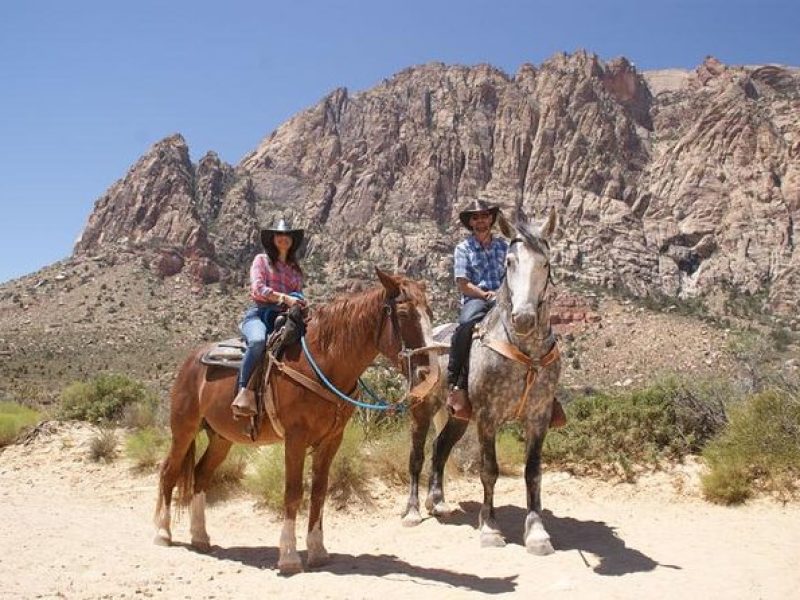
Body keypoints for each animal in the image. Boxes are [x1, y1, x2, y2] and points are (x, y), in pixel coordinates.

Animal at [154, 270, 434, 576]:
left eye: (430, 312)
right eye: (404, 313)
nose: (427, 373)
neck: (323, 363)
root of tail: (191, 360)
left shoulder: (331, 440)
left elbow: (319, 492)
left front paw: (318, 551)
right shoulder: (295, 438)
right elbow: (293, 492)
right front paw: (289, 556)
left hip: (221, 438)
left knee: (201, 475)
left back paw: (200, 537)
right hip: (184, 429)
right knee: (169, 471)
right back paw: (163, 533)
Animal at [400, 209, 564, 556]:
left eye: (545, 263)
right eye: (509, 262)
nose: (524, 319)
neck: (524, 354)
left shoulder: (538, 418)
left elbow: (533, 473)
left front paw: (537, 533)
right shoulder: (488, 417)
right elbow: (489, 470)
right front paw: (489, 528)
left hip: (458, 416)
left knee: (440, 447)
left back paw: (438, 502)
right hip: (422, 409)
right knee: (417, 455)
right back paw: (413, 511)